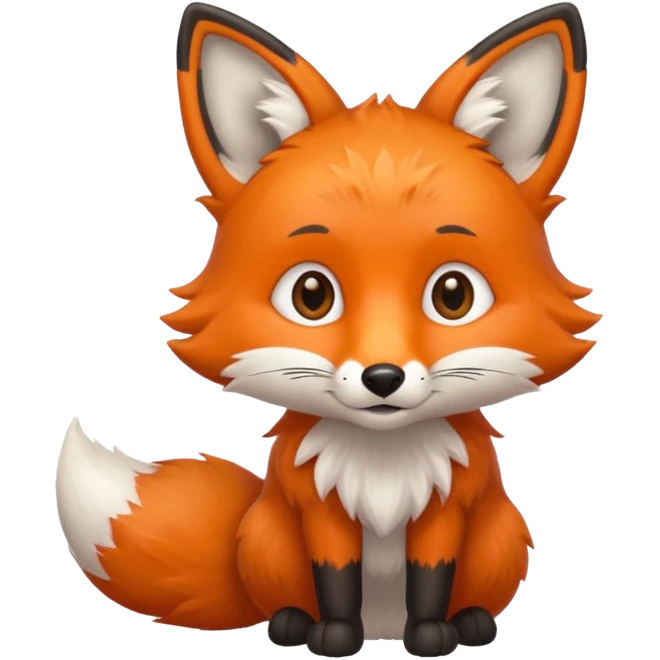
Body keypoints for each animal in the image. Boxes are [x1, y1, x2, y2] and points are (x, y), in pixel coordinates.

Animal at [56, 1, 596, 657]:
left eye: (453, 295)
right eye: (311, 295)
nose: (383, 377)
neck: (383, 461)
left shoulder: (446, 507)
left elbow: (431, 578)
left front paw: (432, 635)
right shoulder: (319, 508)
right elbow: (335, 579)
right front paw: (334, 636)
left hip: (501, 538)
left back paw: (469, 623)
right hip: (266, 538)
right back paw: (291, 622)